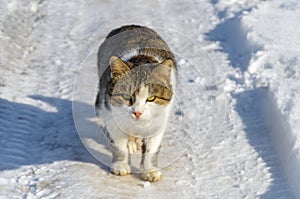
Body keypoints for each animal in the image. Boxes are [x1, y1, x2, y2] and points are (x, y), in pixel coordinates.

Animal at [95, 24, 177, 181]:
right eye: (127, 96)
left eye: (151, 98)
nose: (137, 112)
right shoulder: (110, 111)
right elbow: (118, 141)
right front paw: (120, 165)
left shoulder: (160, 117)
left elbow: (152, 146)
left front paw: (150, 170)